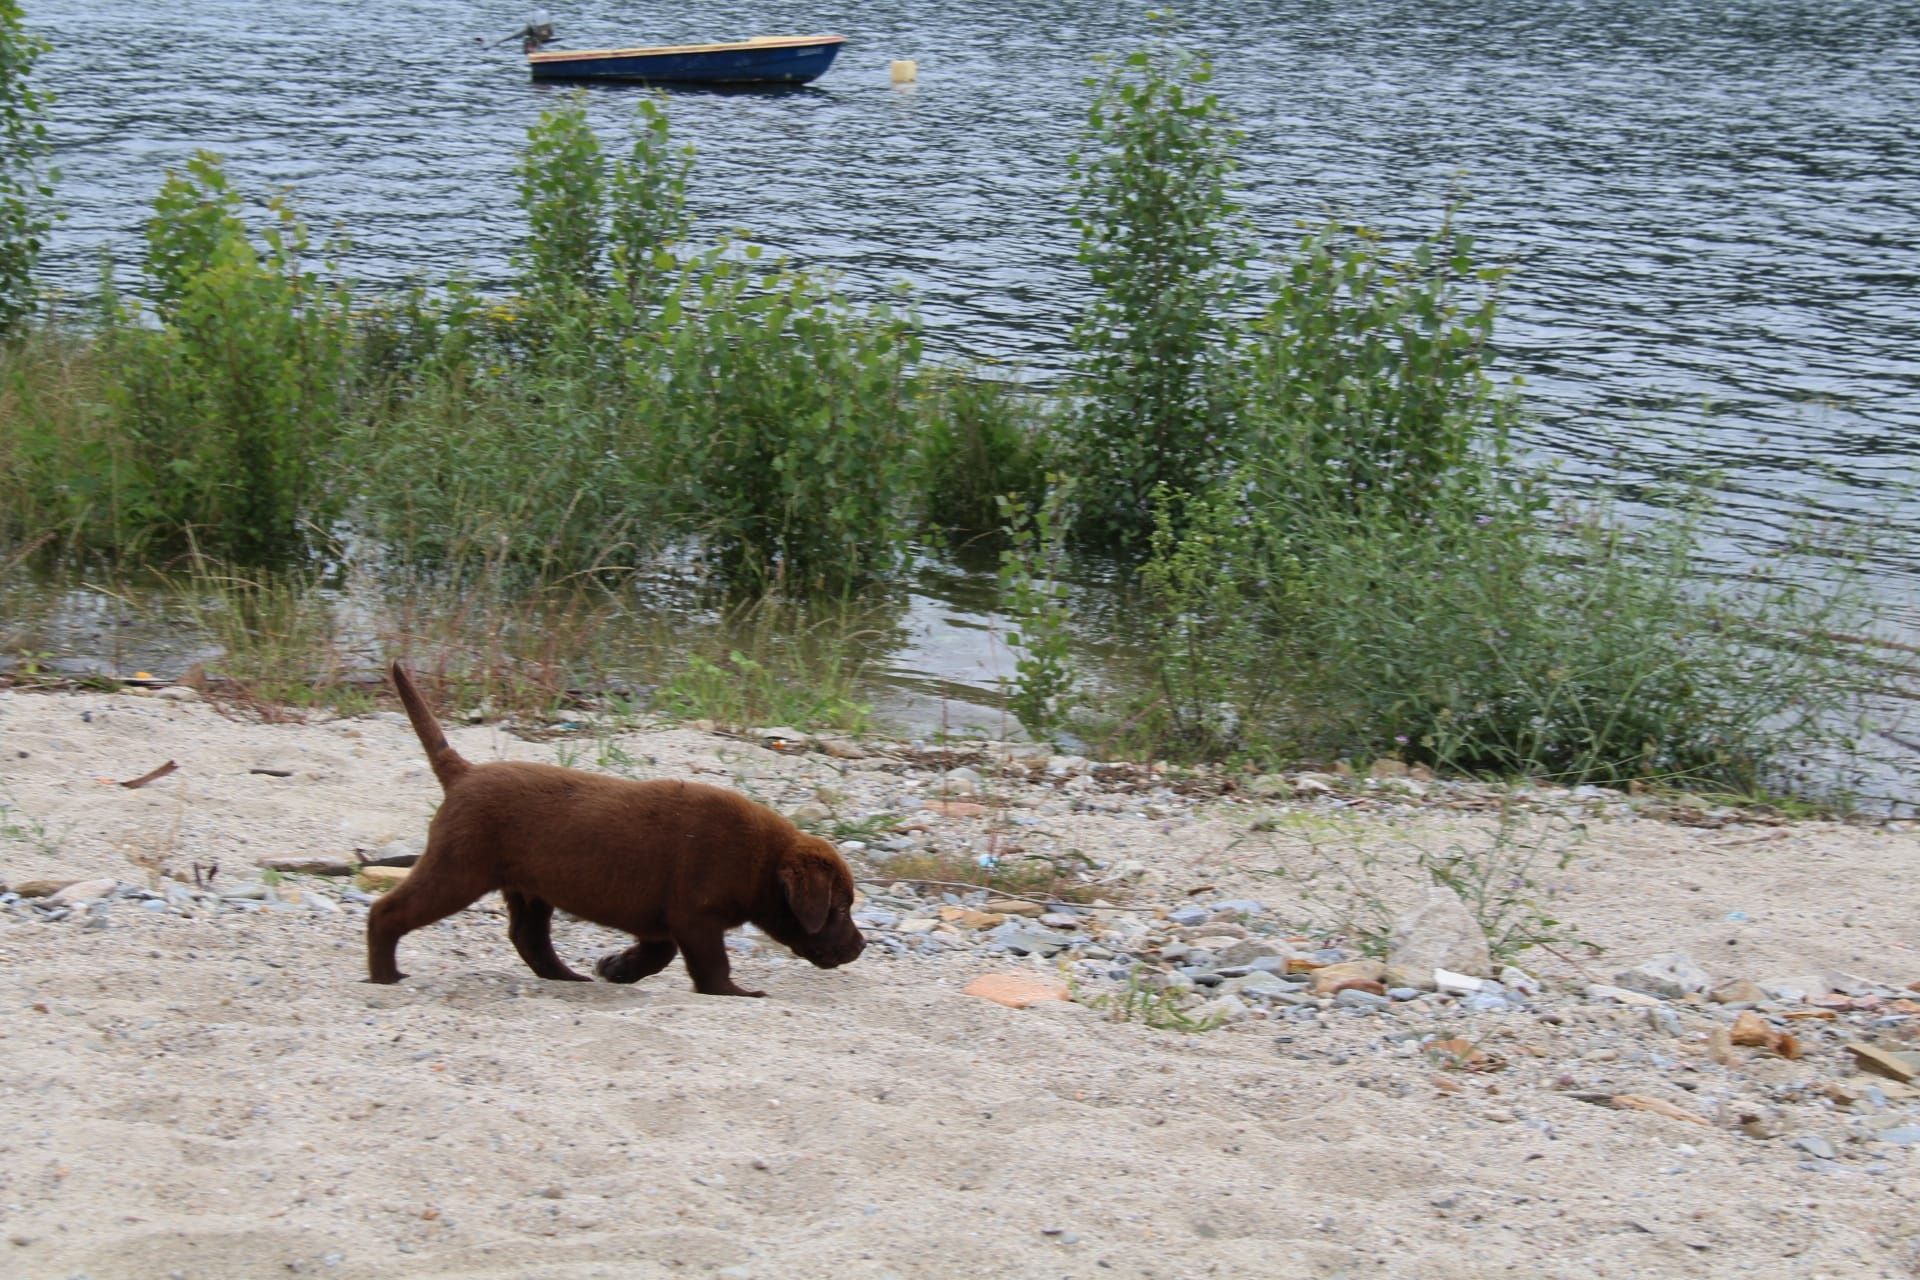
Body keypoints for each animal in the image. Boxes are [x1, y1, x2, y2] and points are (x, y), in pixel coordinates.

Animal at [366, 667, 864, 997]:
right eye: (838, 909)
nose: (860, 946)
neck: (761, 859)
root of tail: (463, 773)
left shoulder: (664, 919)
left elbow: (659, 953)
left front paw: (617, 968)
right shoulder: (696, 915)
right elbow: (711, 965)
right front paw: (737, 994)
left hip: (527, 885)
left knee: (529, 938)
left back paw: (567, 978)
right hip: (459, 868)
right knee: (388, 911)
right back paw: (384, 975)